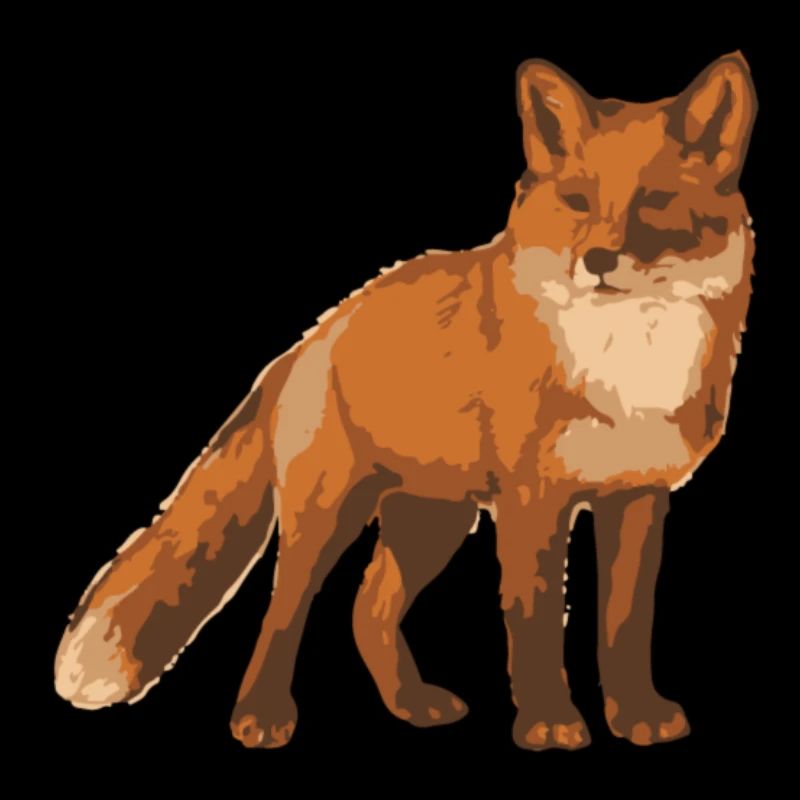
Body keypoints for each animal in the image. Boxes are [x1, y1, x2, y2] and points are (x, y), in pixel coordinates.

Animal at [54, 52, 757, 750]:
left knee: (369, 609)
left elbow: (625, 623)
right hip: (328, 516)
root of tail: (309, 340)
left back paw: (410, 705)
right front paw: (548, 722)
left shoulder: (638, 497)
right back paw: (261, 715)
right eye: (577, 200)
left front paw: (636, 715)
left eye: (656, 202)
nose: (599, 259)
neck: (624, 370)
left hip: (431, 521)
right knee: (284, 610)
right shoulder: (532, 500)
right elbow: (533, 620)